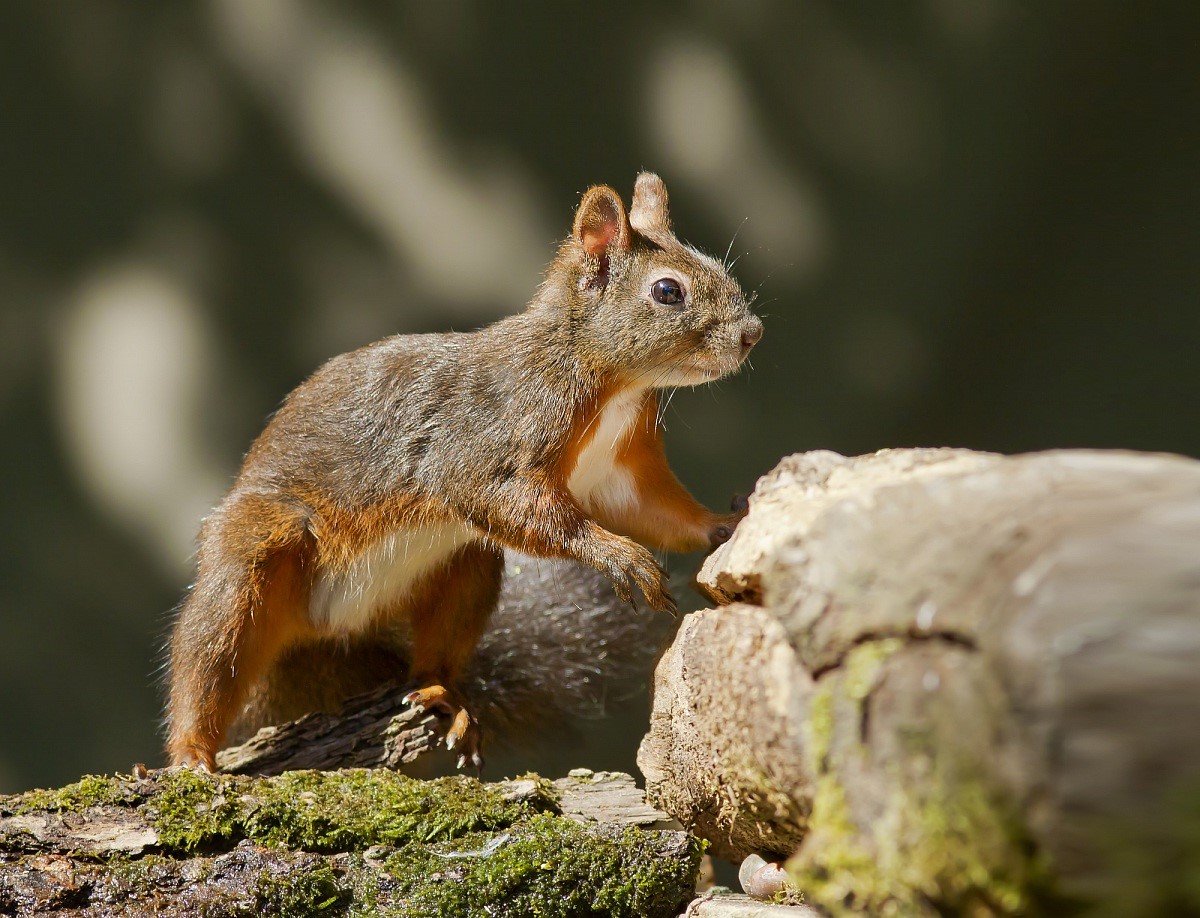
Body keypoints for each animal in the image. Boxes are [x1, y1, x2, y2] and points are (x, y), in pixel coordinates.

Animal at [164, 168, 763, 768]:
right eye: (668, 291)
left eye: (714, 262)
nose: (752, 333)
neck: (611, 380)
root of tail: (333, 632)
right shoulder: (484, 437)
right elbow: (502, 497)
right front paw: (619, 555)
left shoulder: (615, 473)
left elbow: (652, 511)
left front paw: (725, 523)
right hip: (258, 553)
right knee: (211, 651)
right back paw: (192, 753)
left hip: (465, 565)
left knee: (432, 655)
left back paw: (442, 695)